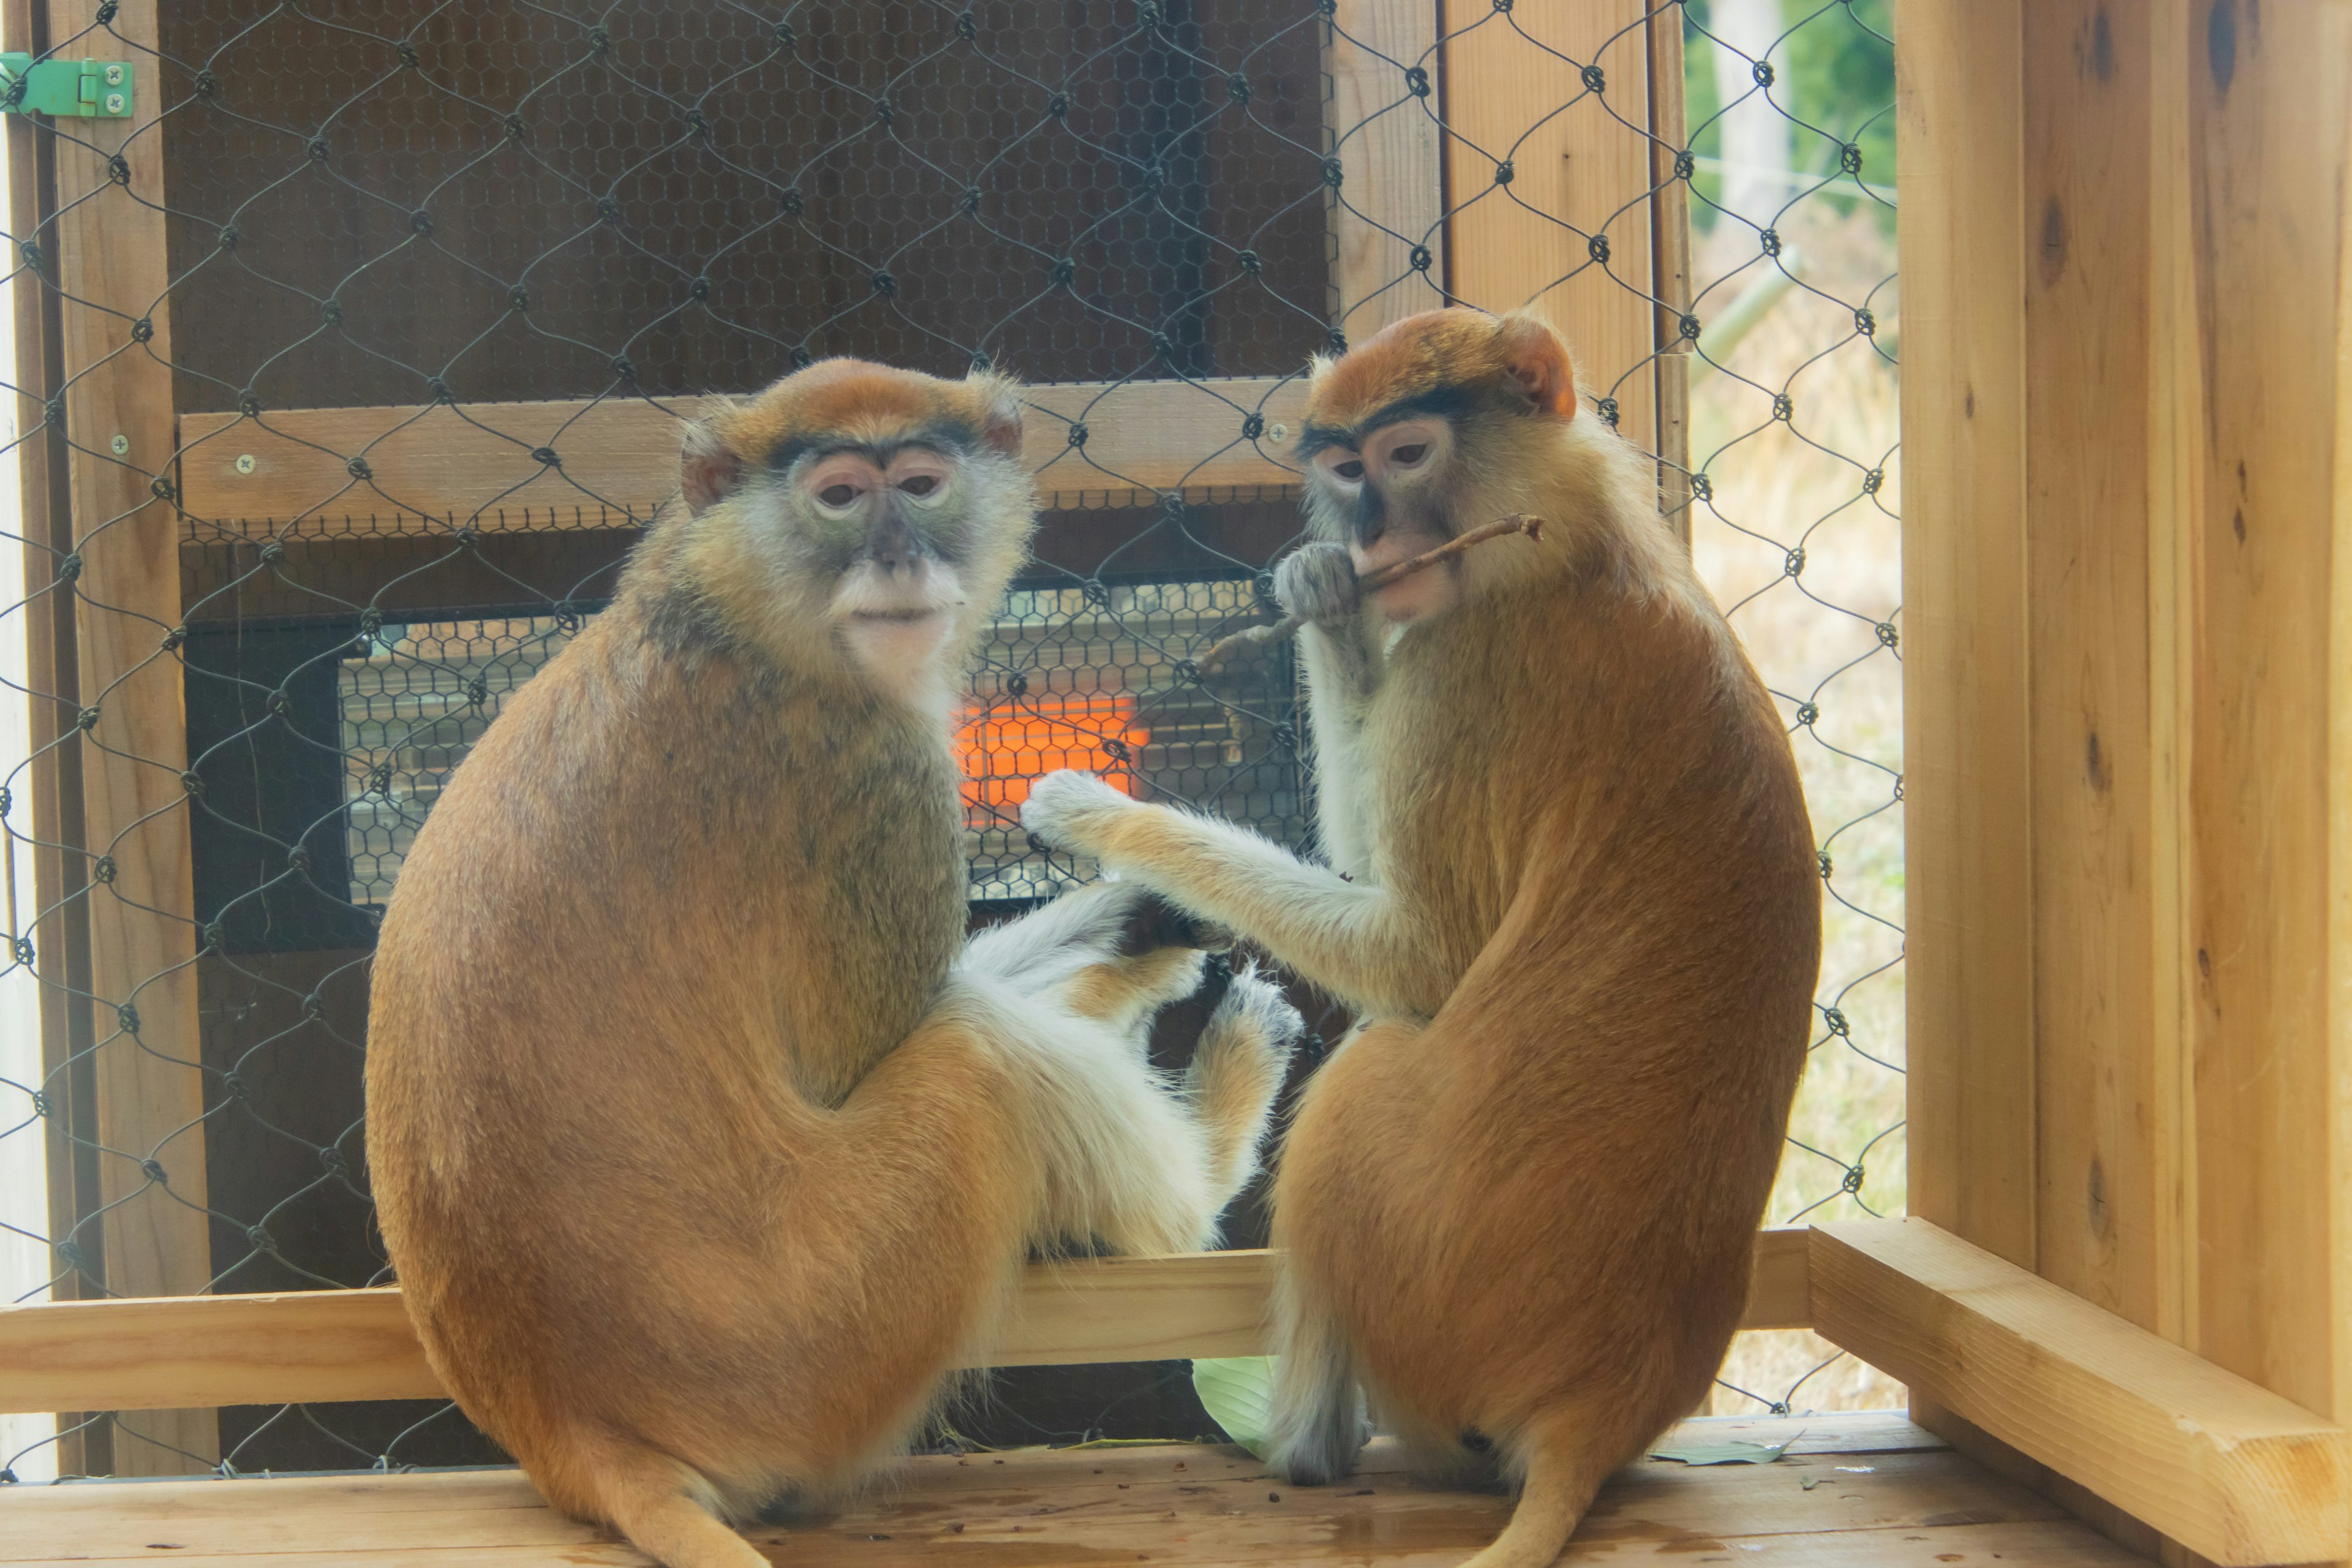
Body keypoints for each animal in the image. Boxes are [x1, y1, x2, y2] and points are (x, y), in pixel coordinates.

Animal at [362, 360, 1308, 1568]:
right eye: (843, 497)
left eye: (922, 483)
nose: (900, 558)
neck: (729, 611)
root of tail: (574, 1430)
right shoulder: (870, 766)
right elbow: (869, 1048)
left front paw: (1146, 918)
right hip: (825, 1332)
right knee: (982, 1064)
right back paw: (1210, 1157)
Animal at [1025, 312, 1815, 1568]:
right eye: (1346, 469)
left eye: (1406, 455)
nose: (1372, 535)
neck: (1574, 542)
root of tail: (1603, 1398)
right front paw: (1328, 594)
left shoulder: (1470, 663)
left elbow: (1419, 959)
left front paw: (1094, 818)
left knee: (1371, 1068)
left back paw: (1302, 1449)